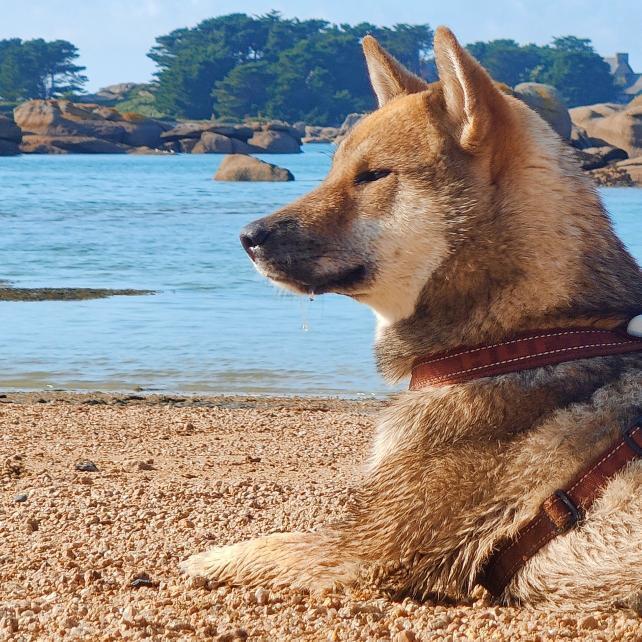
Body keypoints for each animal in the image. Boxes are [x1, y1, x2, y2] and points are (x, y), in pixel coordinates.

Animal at [181, 27, 640, 608]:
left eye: (373, 176)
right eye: (332, 171)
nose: (247, 236)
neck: (527, 339)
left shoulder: (365, 551)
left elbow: (253, 549)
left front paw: (200, 560)